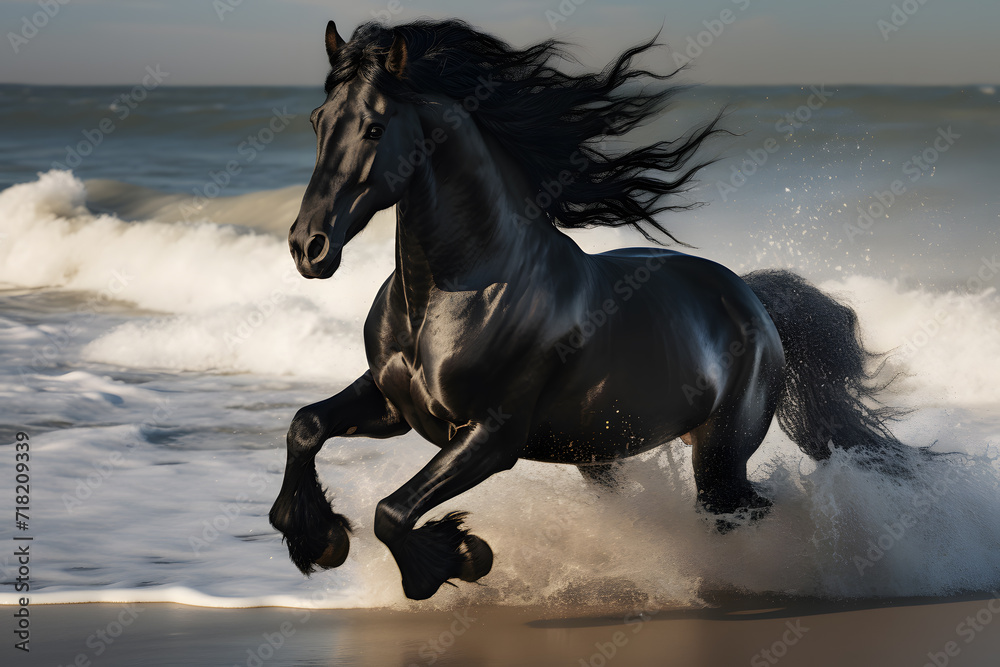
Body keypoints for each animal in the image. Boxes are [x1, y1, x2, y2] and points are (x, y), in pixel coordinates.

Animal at [268, 18, 908, 604]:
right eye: (318, 121)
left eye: (375, 127)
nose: (308, 247)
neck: (452, 294)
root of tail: (752, 300)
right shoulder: (394, 405)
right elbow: (307, 425)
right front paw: (318, 539)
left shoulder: (492, 437)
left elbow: (392, 511)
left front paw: (460, 559)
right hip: (602, 456)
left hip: (719, 460)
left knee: (749, 509)